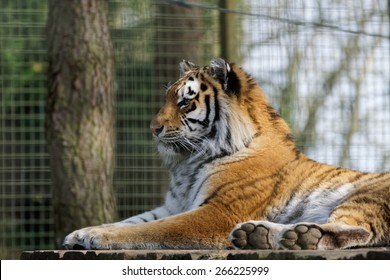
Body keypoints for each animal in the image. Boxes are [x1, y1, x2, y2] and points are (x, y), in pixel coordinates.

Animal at [64, 58, 390, 250]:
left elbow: (151, 230)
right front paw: (80, 233)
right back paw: (259, 234)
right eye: (167, 98)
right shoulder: (174, 205)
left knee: (359, 229)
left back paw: (300, 236)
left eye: (184, 102)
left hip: (365, 195)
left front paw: (97, 237)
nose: (153, 128)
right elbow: (133, 221)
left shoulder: (220, 211)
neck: (189, 161)